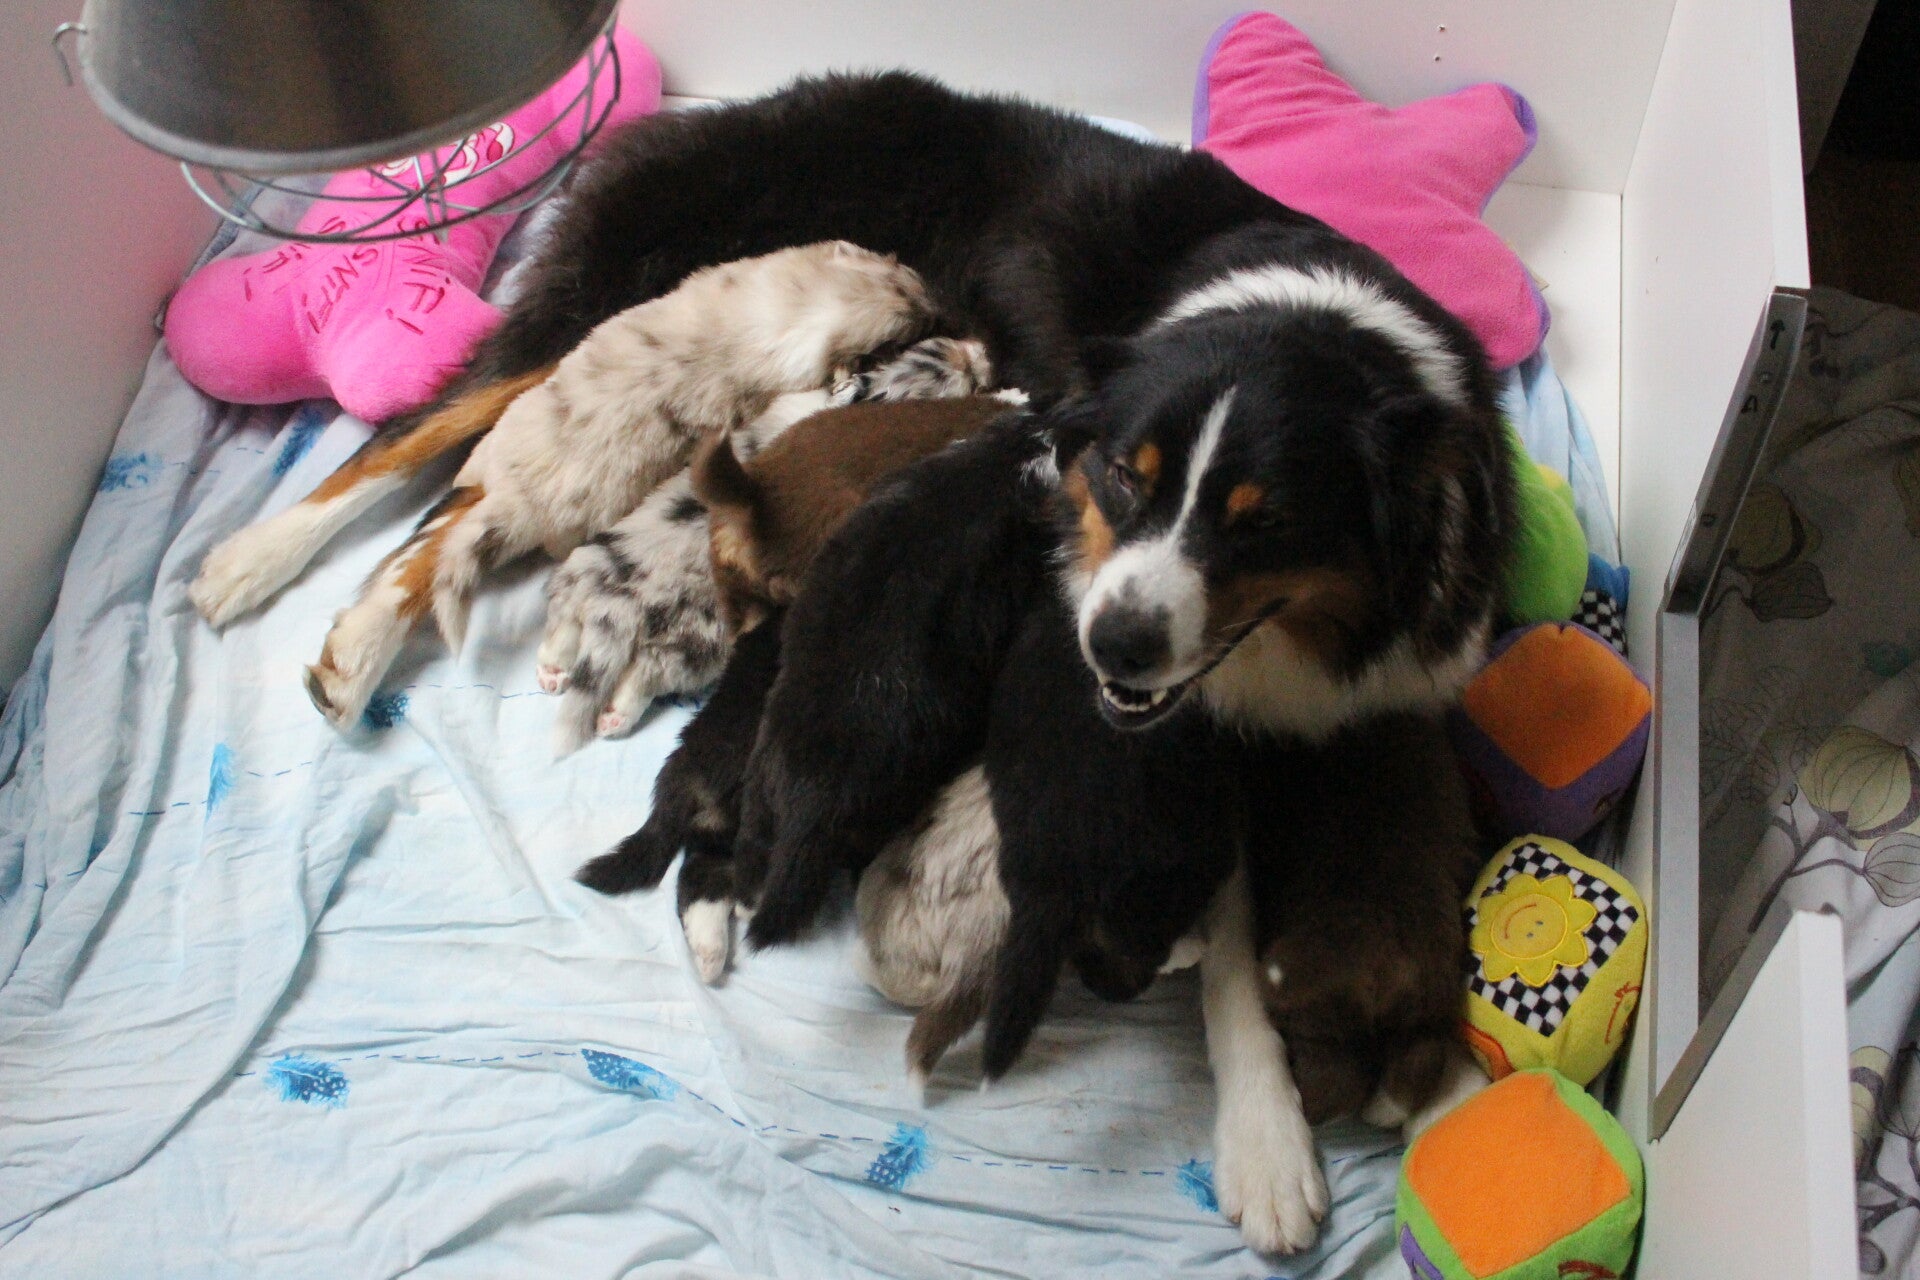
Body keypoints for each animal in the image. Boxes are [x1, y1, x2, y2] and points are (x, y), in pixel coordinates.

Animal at [191, 240, 932, 728]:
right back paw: (254, 567)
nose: (938, 303)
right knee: (411, 438)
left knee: (447, 516)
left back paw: (334, 641)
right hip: (579, 312)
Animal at [537, 336, 993, 751]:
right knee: (651, 670)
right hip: (700, 639)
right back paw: (612, 716)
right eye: (955, 372)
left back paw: (554, 673)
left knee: (567, 626)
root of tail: (616, 603)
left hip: (587, 575)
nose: (986, 353)